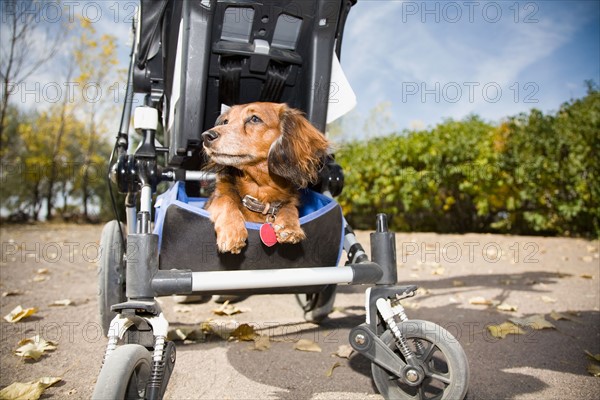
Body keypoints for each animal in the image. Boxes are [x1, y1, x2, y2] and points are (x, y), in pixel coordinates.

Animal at [204, 102, 330, 253]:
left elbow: (289, 206)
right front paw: (232, 231)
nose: (206, 136)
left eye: (255, 119)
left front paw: (289, 226)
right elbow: (225, 199)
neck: (260, 192)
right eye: (225, 121)